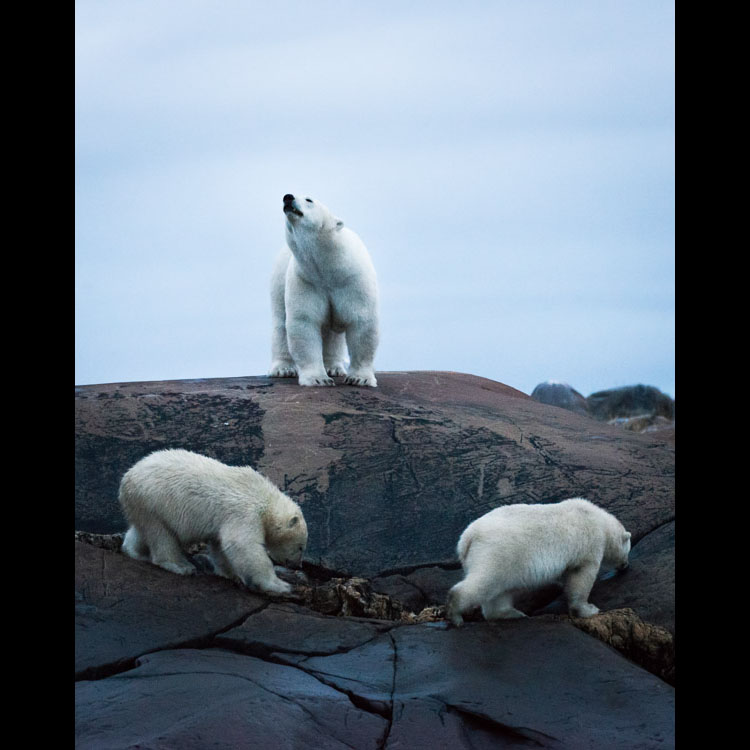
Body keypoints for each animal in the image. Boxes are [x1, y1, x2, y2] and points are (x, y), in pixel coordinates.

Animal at [118, 448, 308, 595]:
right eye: (300, 547)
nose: (297, 565)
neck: (265, 497)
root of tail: (127, 478)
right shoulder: (245, 512)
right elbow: (242, 544)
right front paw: (280, 585)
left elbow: (220, 545)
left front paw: (231, 574)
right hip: (153, 500)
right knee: (162, 535)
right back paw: (181, 566)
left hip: (144, 505)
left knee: (144, 529)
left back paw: (135, 552)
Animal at [269, 193, 379, 387]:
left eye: (309, 200)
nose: (287, 197)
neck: (329, 267)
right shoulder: (307, 281)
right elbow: (305, 321)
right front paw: (318, 379)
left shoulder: (352, 280)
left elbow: (361, 321)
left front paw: (360, 378)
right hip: (279, 281)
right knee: (281, 323)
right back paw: (283, 369)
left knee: (333, 333)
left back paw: (334, 367)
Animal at [445, 498, 631, 625]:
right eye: (628, 550)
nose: (625, 566)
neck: (599, 521)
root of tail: (467, 538)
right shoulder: (589, 544)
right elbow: (581, 576)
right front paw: (589, 609)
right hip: (497, 552)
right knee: (484, 582)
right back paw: (456, 615)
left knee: (499, 592)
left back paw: (512, 613)